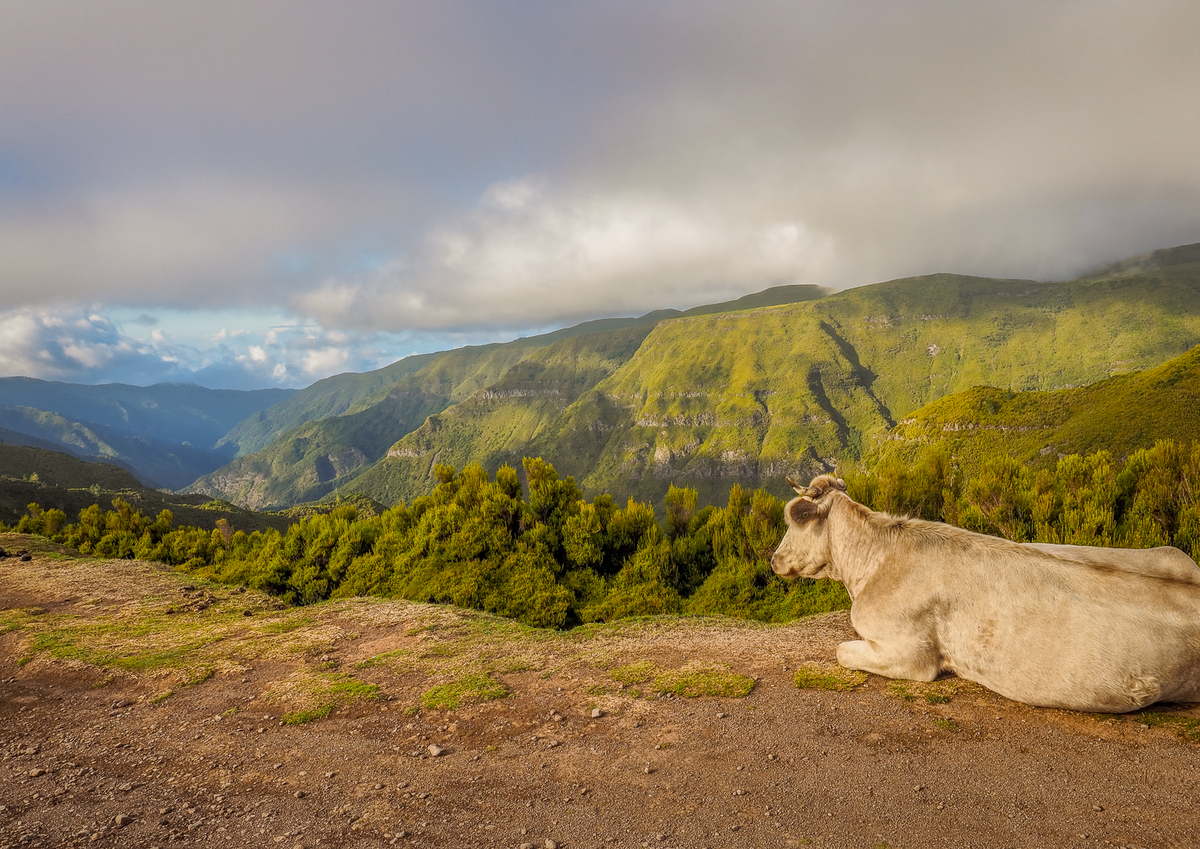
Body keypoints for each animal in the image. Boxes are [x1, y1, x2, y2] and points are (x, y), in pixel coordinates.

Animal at [770, 474, 1200, 712]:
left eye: (795, 518)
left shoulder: (908, 653)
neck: (874, 564)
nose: (773, 560)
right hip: (1170, 553)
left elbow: (842, 652)